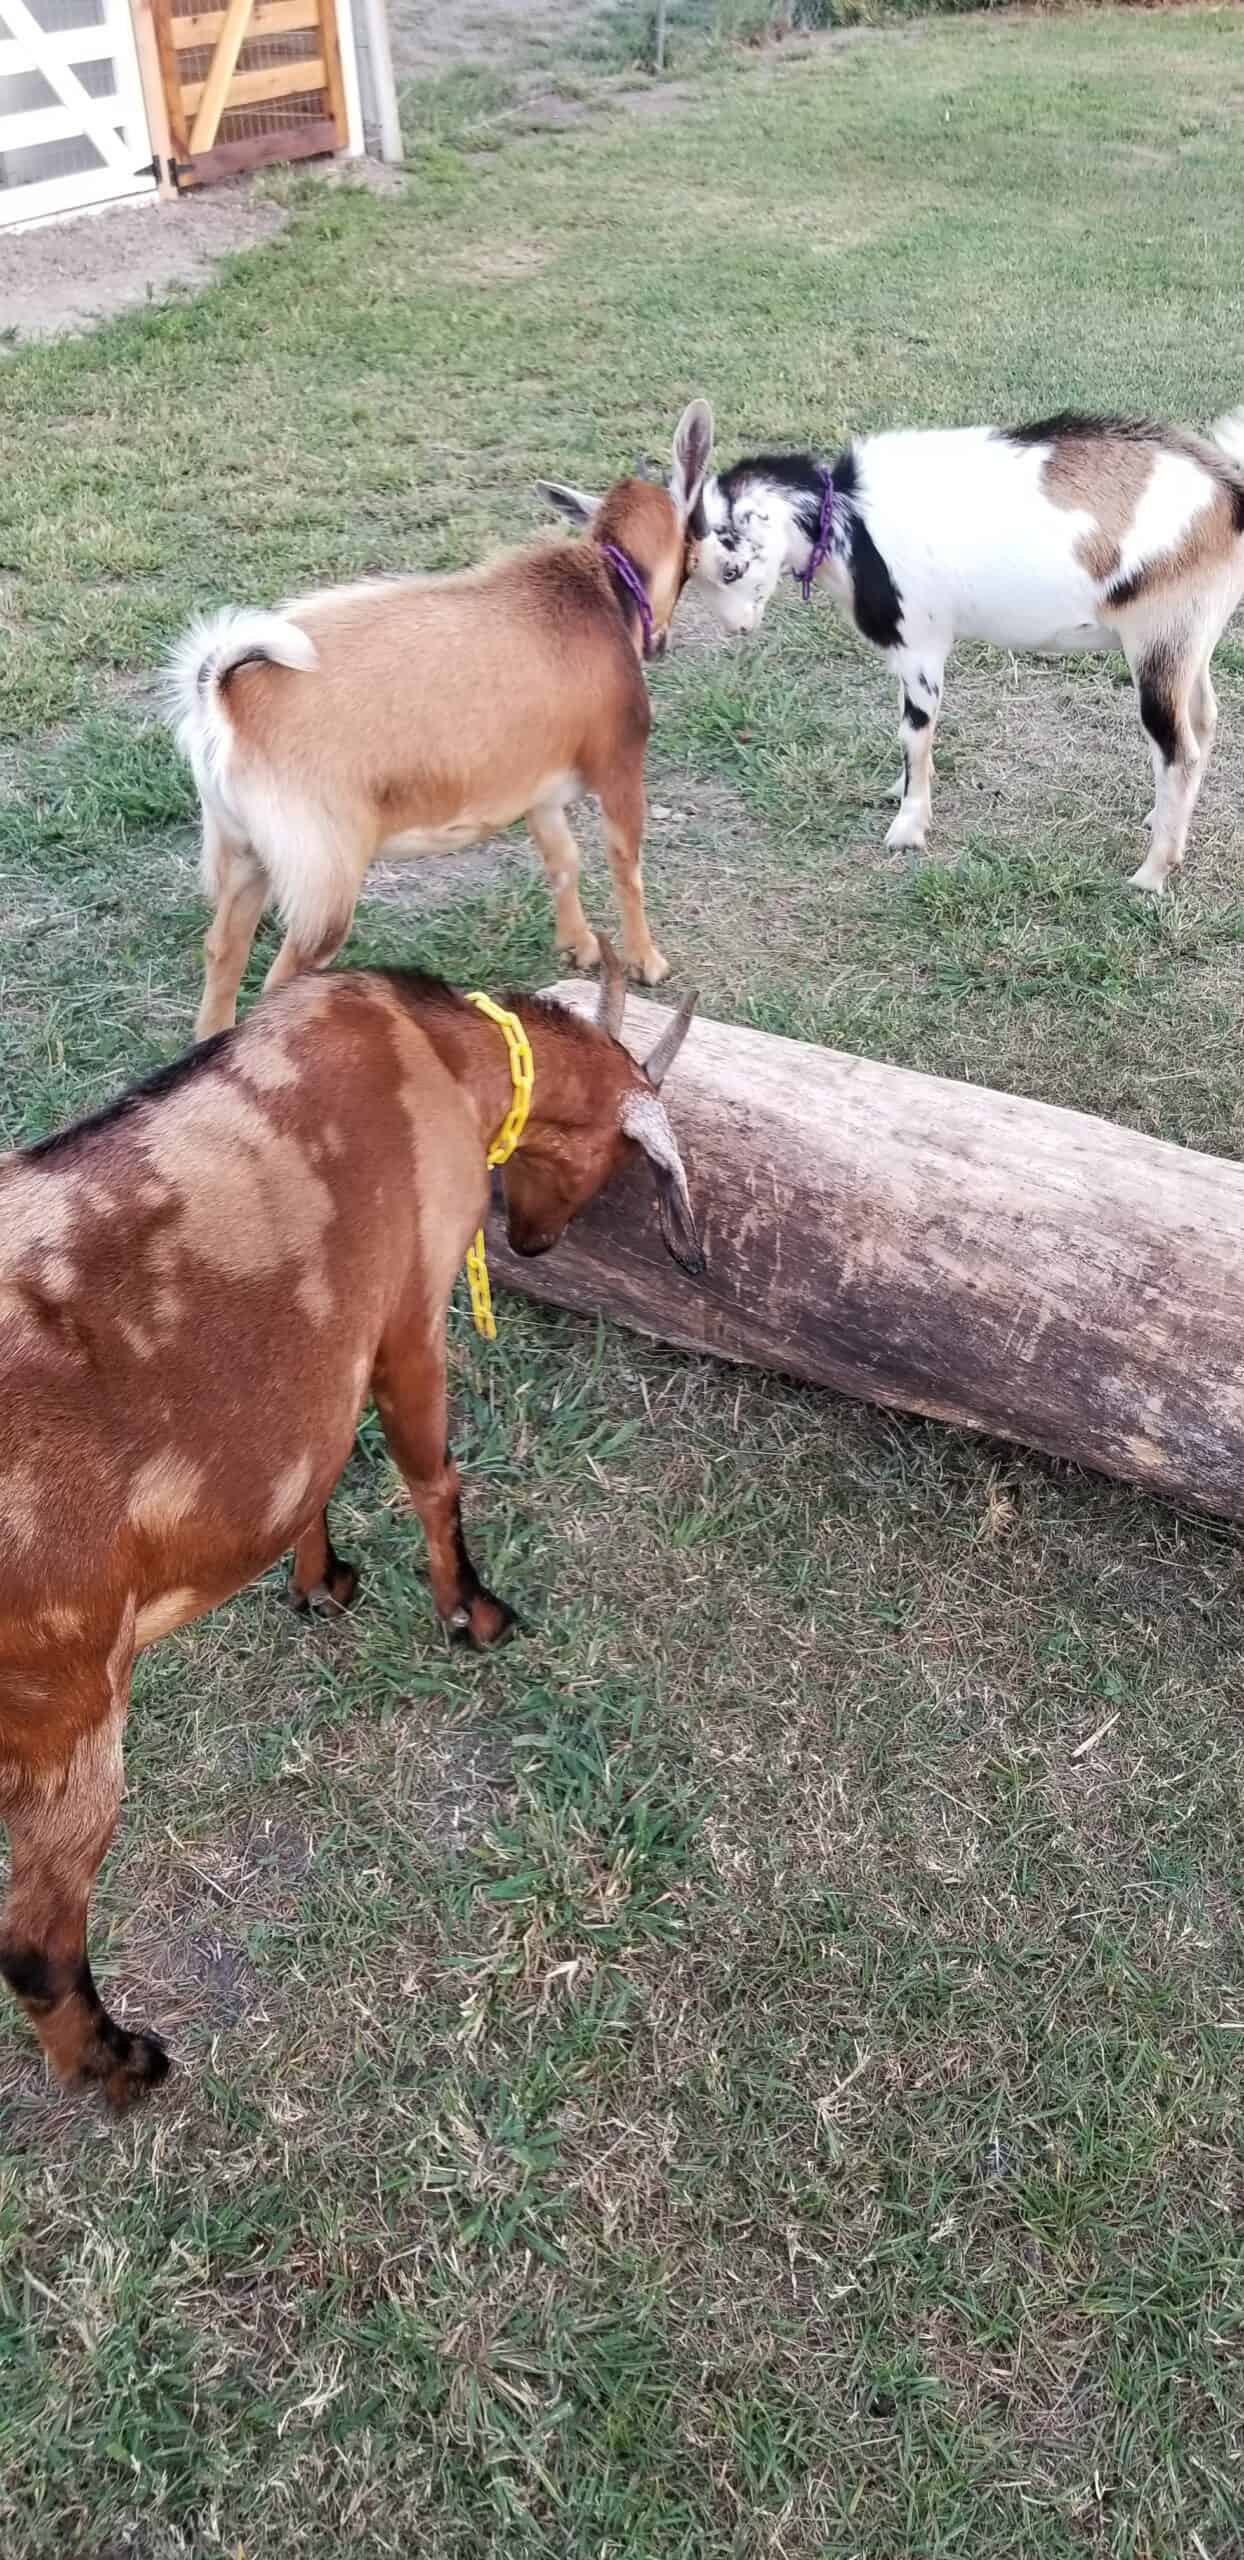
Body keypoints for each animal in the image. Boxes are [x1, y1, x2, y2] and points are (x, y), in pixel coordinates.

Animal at [691, 414, 1244, 896]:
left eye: (732, 569)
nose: (737, 627)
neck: (851, 519)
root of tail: (1228, 493)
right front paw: (901, 789)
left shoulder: (921, 641)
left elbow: (914, 731)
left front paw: (908, 826)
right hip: (1191, 638)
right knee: (1203, 720)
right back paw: (1163, 824)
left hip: (1159, 638)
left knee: (1177, 749)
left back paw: (1151, 873)